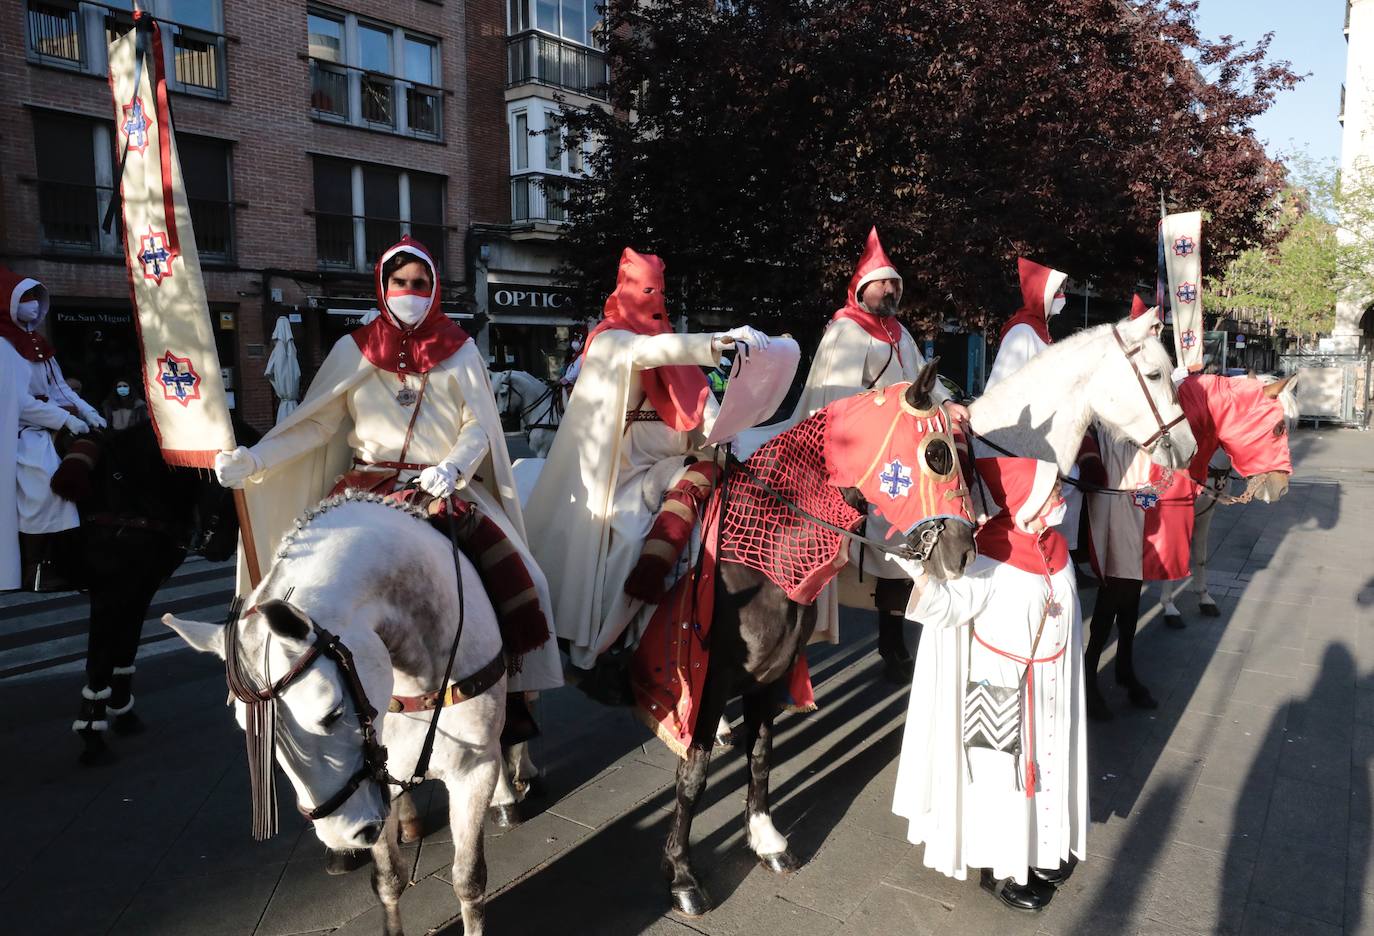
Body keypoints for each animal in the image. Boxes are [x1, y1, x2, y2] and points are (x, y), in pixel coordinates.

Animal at [161, 492, 505, 929]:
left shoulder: (473, 771)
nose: (344, 836)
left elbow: (468, 879)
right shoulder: (379, 781)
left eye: (332, 713)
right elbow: (388, 880)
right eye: (251, 733)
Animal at [1159, 368, 1297, 624]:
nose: (1281, 488)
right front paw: (1169, 606)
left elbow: (1200, 556)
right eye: (1278, 428)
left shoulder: (1205, 514)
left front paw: (1204, 598)